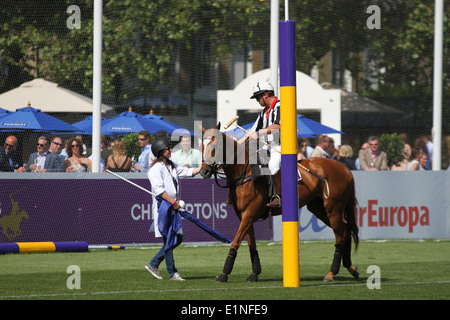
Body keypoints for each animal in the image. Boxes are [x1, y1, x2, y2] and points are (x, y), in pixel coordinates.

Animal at [200, 124, 358, 282]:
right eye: (201, 146)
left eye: (214, 147)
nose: (204, 171)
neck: (244, 173)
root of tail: (345, 168)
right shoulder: (244, 215)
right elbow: (251, 244)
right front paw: (254, 274)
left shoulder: (249, 214)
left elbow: (236, 241)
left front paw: (223, 274)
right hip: (318, 208)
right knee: (345, 231)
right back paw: (351, 268)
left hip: (333, 208)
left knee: (340, 236)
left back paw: (331, 273)